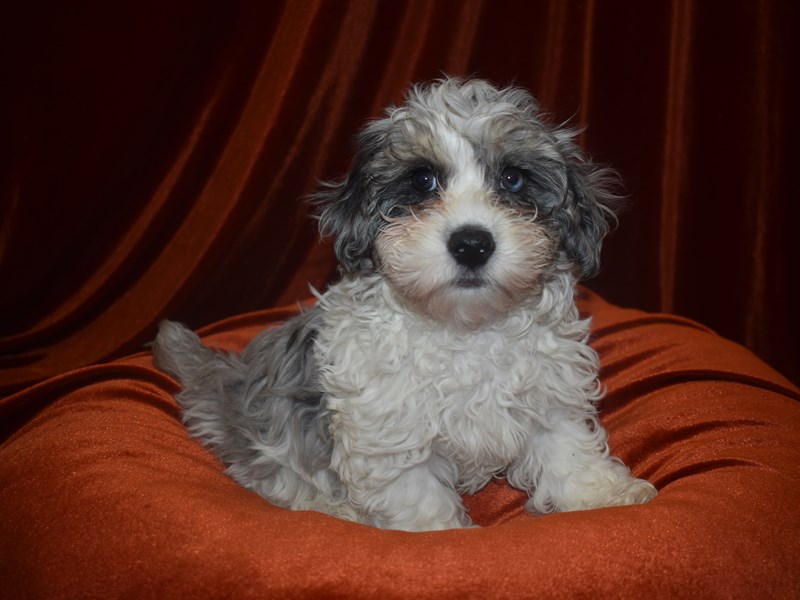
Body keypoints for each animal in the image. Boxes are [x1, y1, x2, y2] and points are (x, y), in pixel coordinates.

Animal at [155, 77, 656, 532]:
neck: (466, 329)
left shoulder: (550, 399)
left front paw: (606, 497)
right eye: (422, 180)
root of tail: (228, 380)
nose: (471, 244)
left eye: (513, 178)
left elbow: (567, 452)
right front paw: (440, 535)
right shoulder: (388, 438)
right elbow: (420, 498)